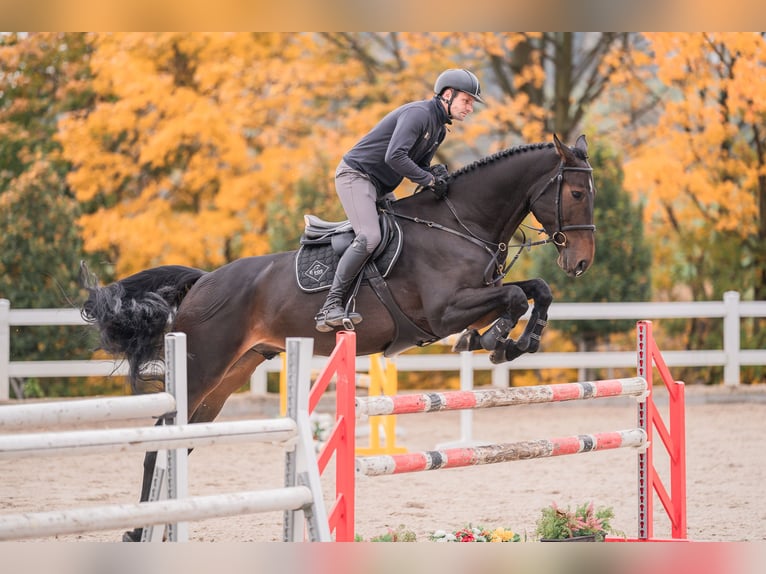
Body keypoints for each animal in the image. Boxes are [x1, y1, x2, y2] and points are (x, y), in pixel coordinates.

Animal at [80, 133, 596, 540]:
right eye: (574, 192)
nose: (581, 263)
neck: (458, 224)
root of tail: (203, 281)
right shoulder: (443, 311)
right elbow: (513, 298)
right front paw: (494, 340)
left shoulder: (478, 294)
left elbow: (536, 290)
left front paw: (522, 342)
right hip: (201, 367)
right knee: (161, 436)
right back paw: (138, 530)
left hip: (231, 374)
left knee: (182, 438)